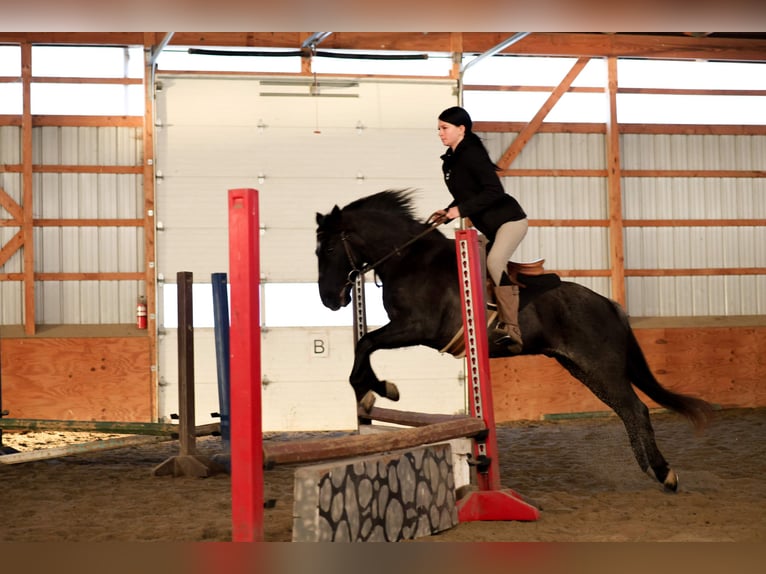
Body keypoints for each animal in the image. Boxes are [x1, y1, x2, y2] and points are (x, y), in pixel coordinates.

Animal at [315, 189, 714, 491]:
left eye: (330, 250)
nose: (330, 300)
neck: (408, 259)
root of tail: (610, 305)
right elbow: (365, 344)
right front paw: (371, 393)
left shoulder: (418, 327)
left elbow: (366, 343)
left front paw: (377, 389)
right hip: (581, 367)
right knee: (626, 409)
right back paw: (654, 470)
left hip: (600, 366)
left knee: (635, 408)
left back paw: (665, 474)